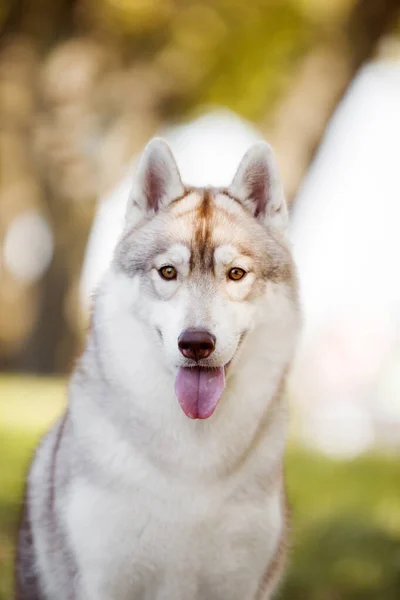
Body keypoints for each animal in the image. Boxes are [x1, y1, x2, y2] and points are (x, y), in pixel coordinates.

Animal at [17, 137, 302, 600]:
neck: (193, 460)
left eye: (236, 273)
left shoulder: (238, 582)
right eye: (168, 271)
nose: (196, 343)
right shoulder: (104, 578)